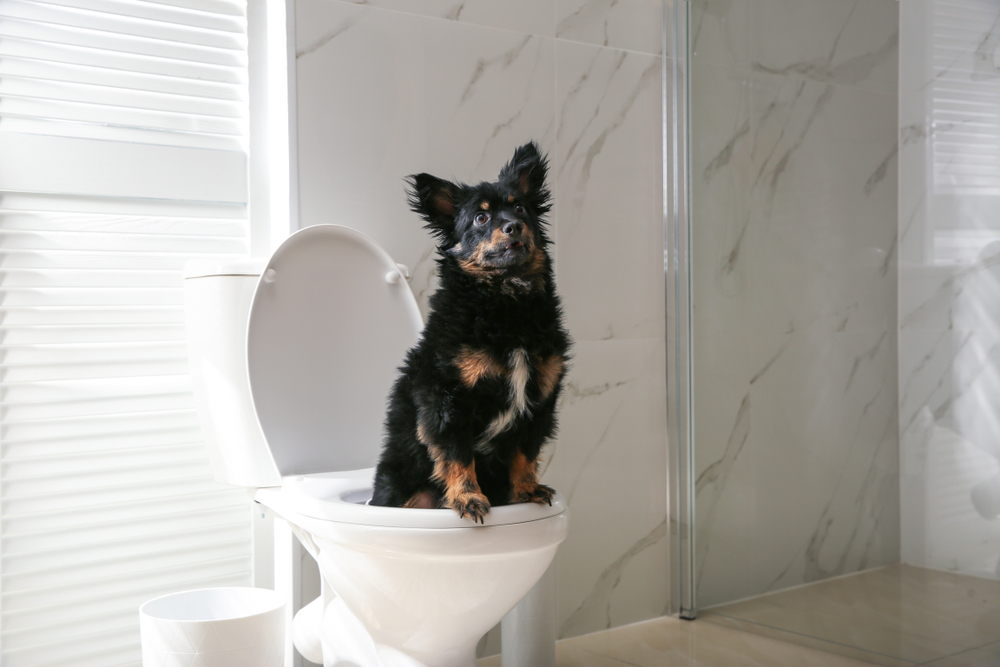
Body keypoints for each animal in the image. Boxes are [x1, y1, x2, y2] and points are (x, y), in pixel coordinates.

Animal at [370, 144, 576, 524]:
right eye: (481, 219)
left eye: (520, 207)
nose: (513, 226)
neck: (508, 304)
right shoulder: (447, 399)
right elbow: (457, 455)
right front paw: (468, 498)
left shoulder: (541, 400)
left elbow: (526, 452)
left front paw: (527, 490)